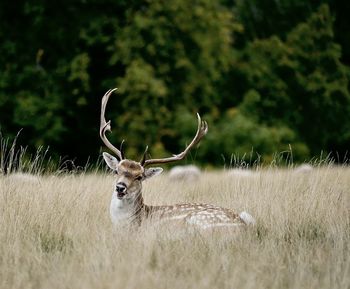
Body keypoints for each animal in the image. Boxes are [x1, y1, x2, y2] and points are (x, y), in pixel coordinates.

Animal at [100, 89, 256, 228]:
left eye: (139, 177)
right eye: (116, 171)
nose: (120, 187)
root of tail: (243, 225)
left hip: (198, 220)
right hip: (245, 214)